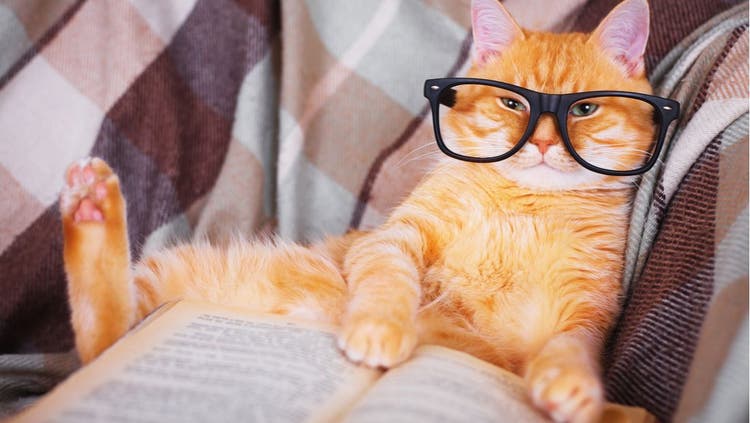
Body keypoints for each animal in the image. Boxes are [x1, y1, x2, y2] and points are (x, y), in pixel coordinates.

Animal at [66, 1, 664, 422]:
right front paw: (380, 325)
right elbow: (388, 280)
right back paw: (93, 207)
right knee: (100, 338)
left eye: (584, 109)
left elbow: (571, 348)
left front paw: (575, 389)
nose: (540, 144)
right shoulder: (397, 238)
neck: (525, 208)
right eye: (511, 102)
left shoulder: (586, 305)